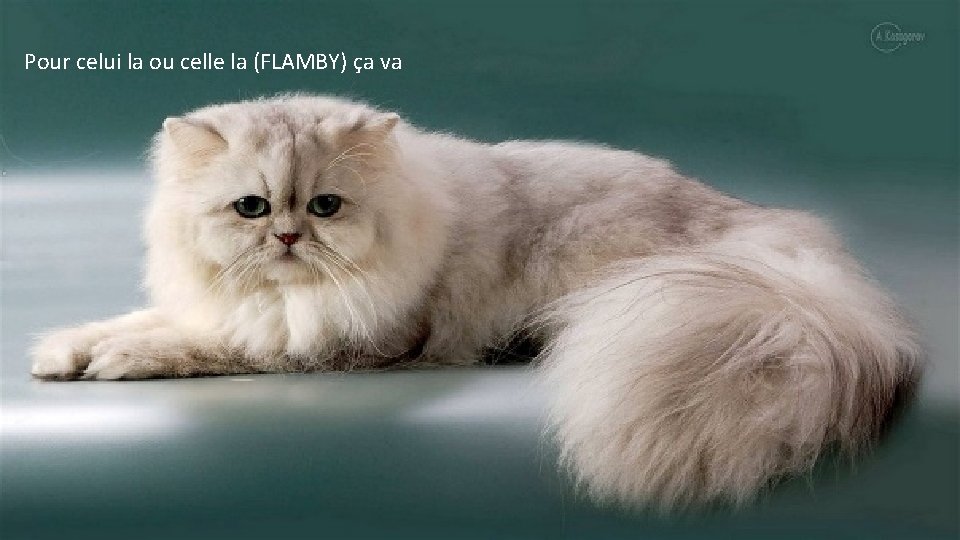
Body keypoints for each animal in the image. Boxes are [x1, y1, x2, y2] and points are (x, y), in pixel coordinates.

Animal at [31, 94, 921, 510]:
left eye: (325, 207)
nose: (286, 237)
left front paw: (117, 360)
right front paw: (64, 352)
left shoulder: (341, 340)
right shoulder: (229, 307)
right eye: (252, 208)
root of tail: (753, 227)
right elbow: (154, 321)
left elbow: (196, 344)